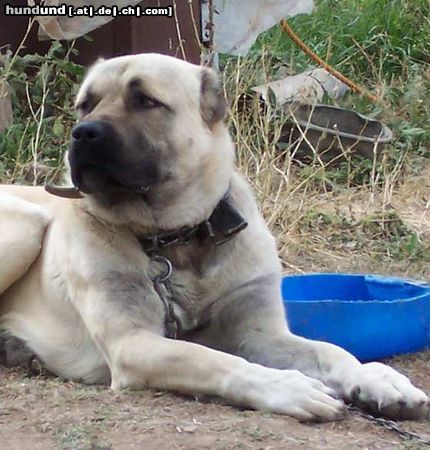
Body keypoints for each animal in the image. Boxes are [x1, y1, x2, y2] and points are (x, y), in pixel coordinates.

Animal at [0, 53, 430, 422]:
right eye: (85, 105)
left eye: (145, 101)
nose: (82, 132)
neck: (176, 239)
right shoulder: (133, 343)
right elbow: (211, 360)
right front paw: (286, 386)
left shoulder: (262, 334)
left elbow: (331, 350)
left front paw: (377, 377)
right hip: (28, 224)